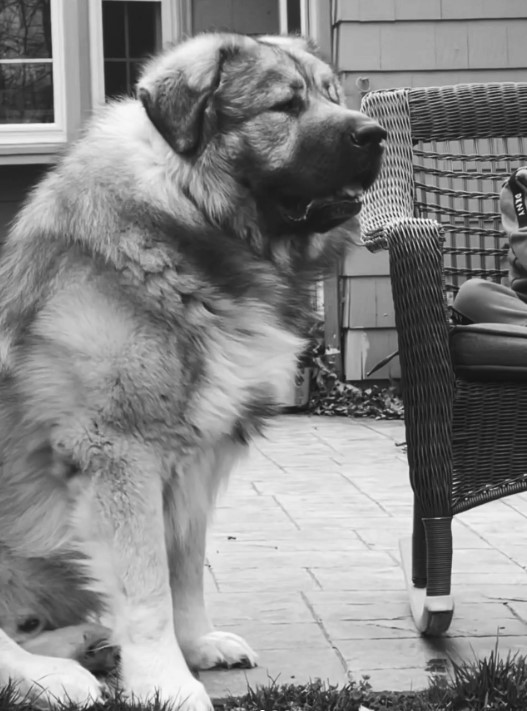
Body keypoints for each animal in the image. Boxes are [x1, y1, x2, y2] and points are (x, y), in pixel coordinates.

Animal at [0, 32, 386, 711]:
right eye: (285, 105)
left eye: (330, 94)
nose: (376, 133)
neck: (191, 215)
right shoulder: (119, 454)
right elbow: (148, 588)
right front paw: (167, 683)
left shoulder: (193, 461)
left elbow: (183, 568)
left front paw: (195, 645)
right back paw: (57, 674)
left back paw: (84, 642)